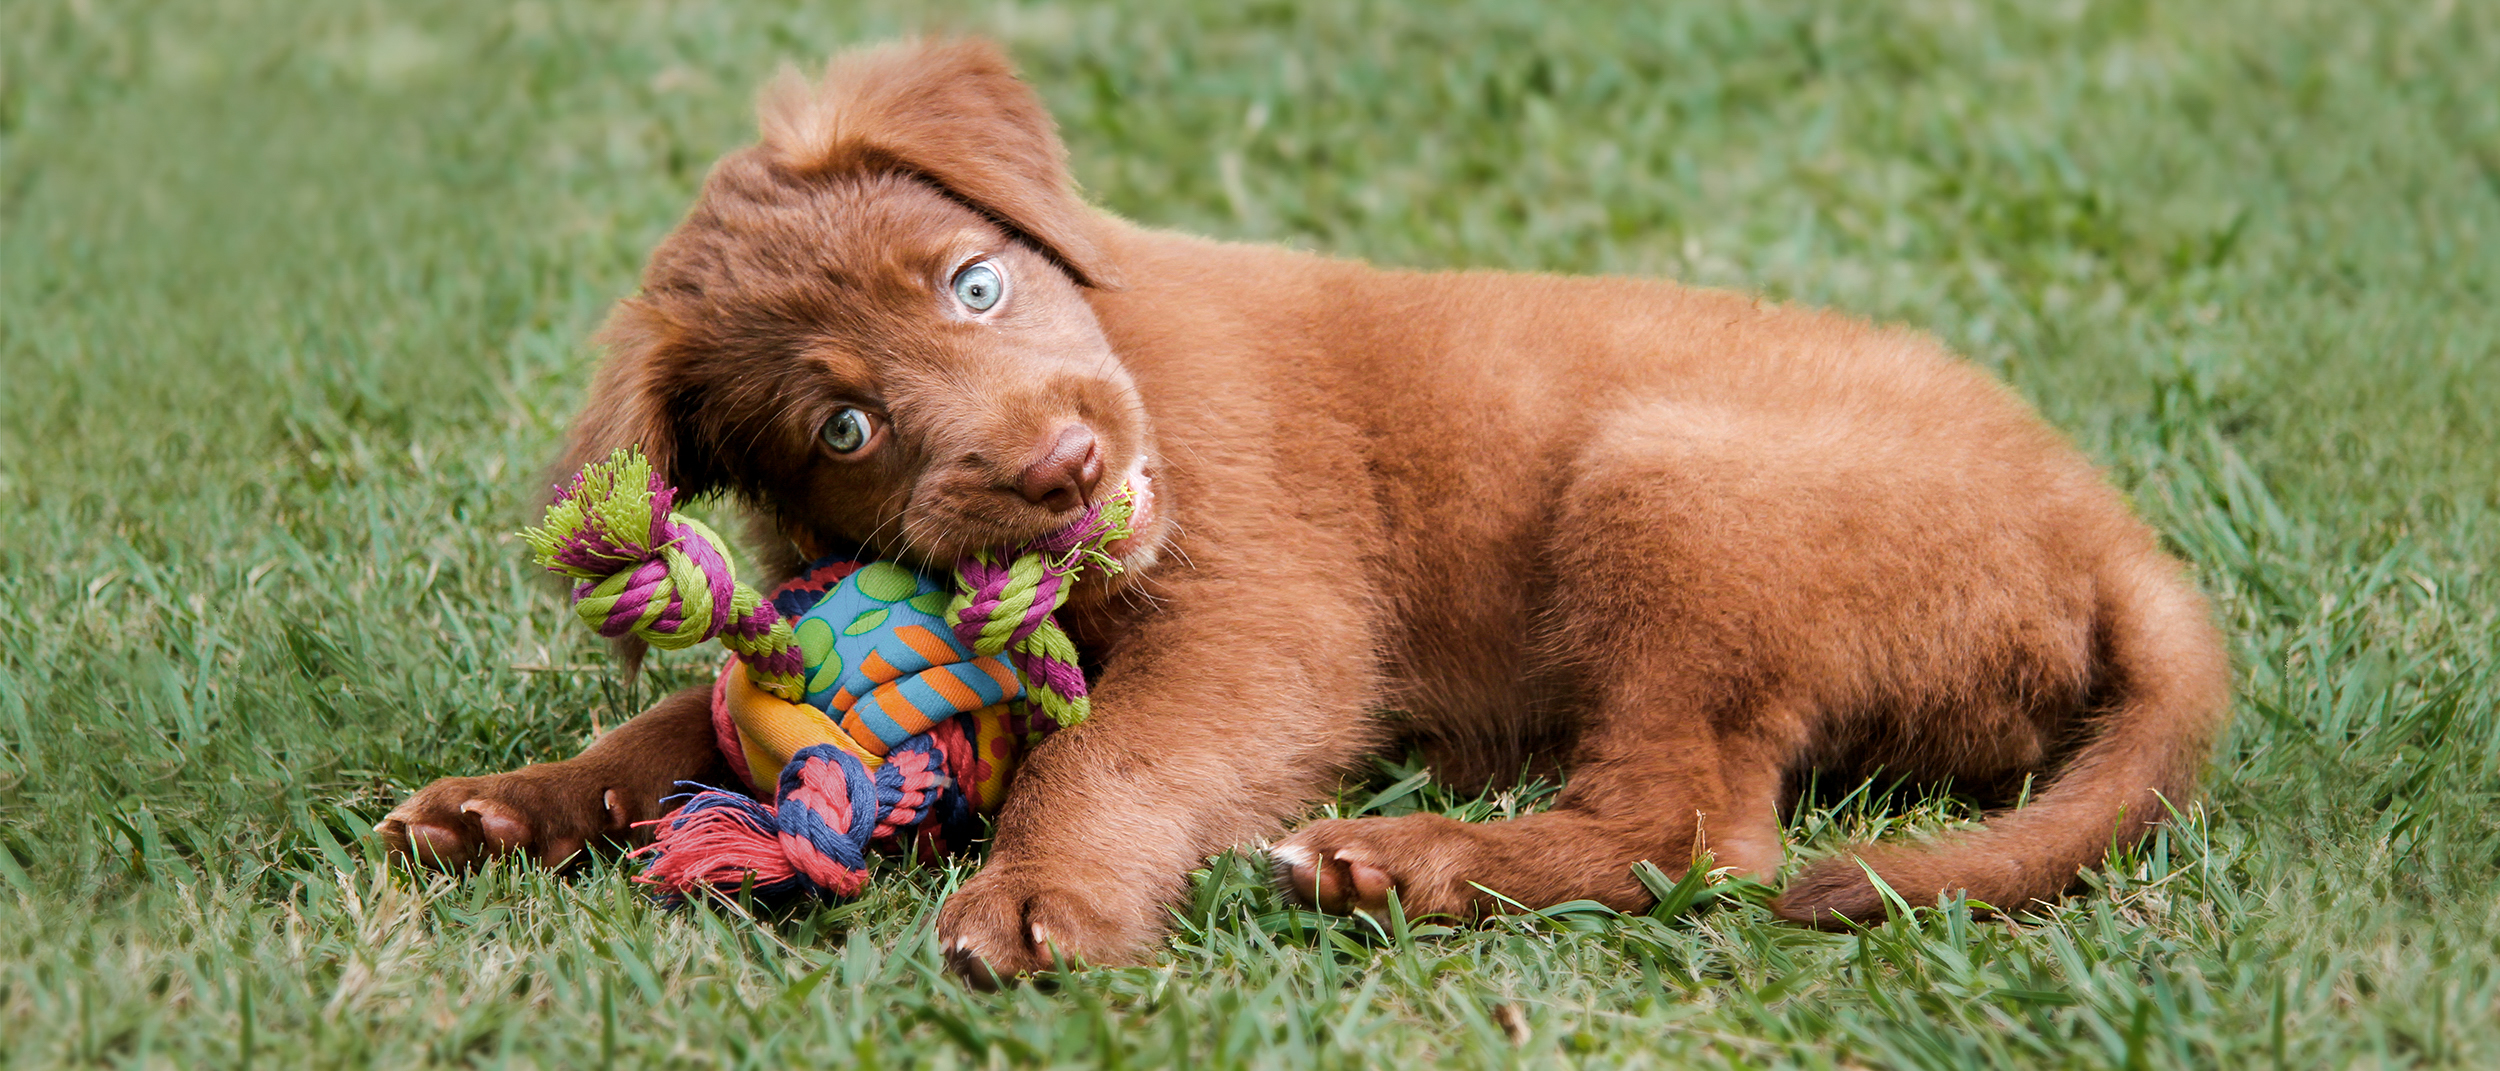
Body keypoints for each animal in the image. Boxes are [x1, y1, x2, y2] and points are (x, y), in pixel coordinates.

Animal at [385, 35, 2230, 985]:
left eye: (977, 282)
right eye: (845, 423)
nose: (1063, 471)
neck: (1121, 348)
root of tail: (2110, 536)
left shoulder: (1268, 620)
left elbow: (1106, 756)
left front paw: (1042, 901)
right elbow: (674, 728)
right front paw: (506, 803)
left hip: (1666, 487)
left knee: (1692, 824)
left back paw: (1406, 861)